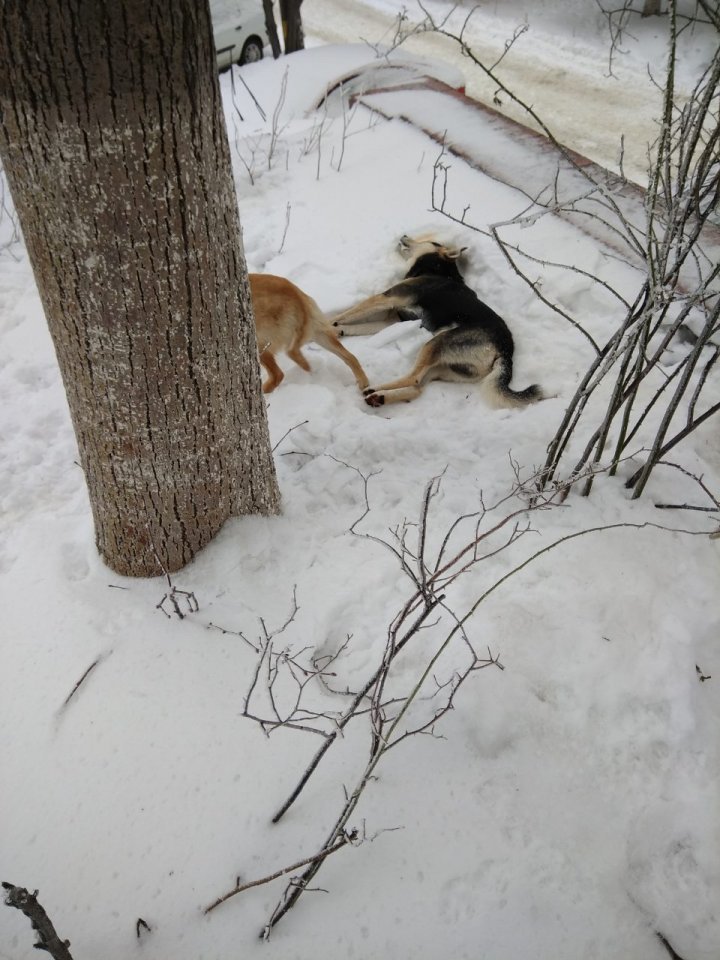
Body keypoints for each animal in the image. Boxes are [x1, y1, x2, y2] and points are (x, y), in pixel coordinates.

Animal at [332, 238, 540, 410]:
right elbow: (357, 324)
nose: (404, 235)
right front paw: (338, 330)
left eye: (433, 242)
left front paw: (329, 323)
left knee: (413, 378)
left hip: (435, 344)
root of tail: (506, 350)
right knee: (417, 387)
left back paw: (375, 389)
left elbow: (350, 312)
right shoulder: (393, 320)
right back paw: (380, 397)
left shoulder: (386, 298)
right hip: (444, 367)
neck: (436, 270)